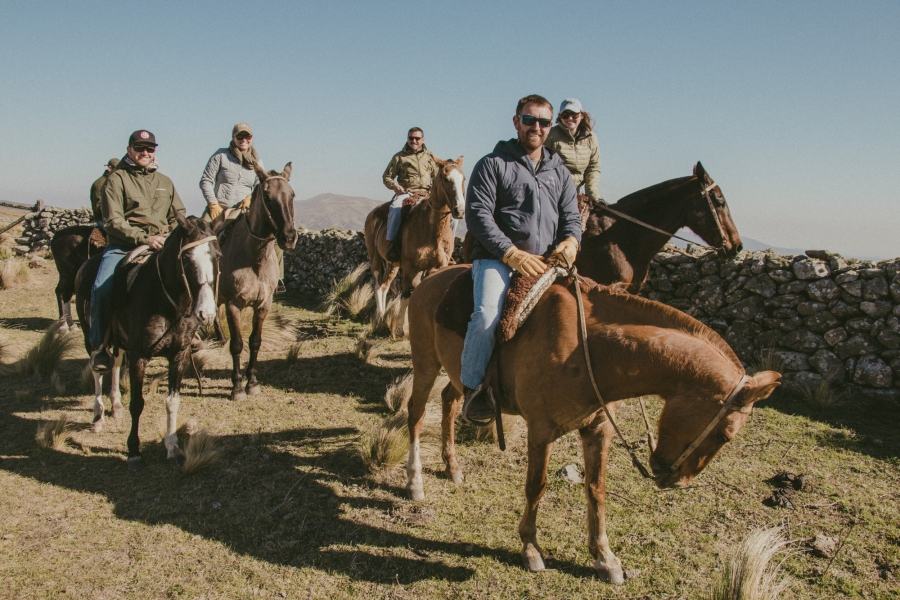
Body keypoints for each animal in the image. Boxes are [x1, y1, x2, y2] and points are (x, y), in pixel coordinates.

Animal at [74, 212, 223, 471]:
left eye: (218, 255)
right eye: (186, 258)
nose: (206, 313)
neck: (166, 301)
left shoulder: (178, 356)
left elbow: (172, 402)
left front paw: (173, 449)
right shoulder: (139, 357)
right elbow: (137, 403)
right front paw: (134, 451)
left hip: (120, 343)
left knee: (114, 363)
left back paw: (115, 406)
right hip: (89, 335)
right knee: (96, 368)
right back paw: (98, 416)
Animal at [217, 162, 297, 402]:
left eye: (292, 195)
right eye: (268, 197)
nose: (289, 238)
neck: (253, 258)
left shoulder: (263, 305)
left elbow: (255, 341)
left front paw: (251, 382)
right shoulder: (233, 305)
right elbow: (237, 344)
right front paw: (236, 387)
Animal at [364, 157, 465, 336]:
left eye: (463, 178)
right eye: (445, 178)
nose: (459, 210)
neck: (431, 229)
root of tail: (373, 213)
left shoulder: (437, 266)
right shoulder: (411, 267)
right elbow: (407, 294)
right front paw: (400, 329)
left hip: (392, 264)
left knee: (384, 286)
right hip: (375, 257)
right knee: (377, 285)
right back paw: (380, 316)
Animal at [403, 264, 780, 582]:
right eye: (724, 435)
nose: (676, 481)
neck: (589, 349)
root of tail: (430, 278)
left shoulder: (598, 429)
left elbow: (596, 489)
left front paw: (605, 558)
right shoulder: (541, 430)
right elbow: (536, 486)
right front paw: (530, 549)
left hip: (456, 375)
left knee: (450, 401)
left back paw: (452, 467)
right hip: (425, 364)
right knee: (416, 414)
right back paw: (415, 482)